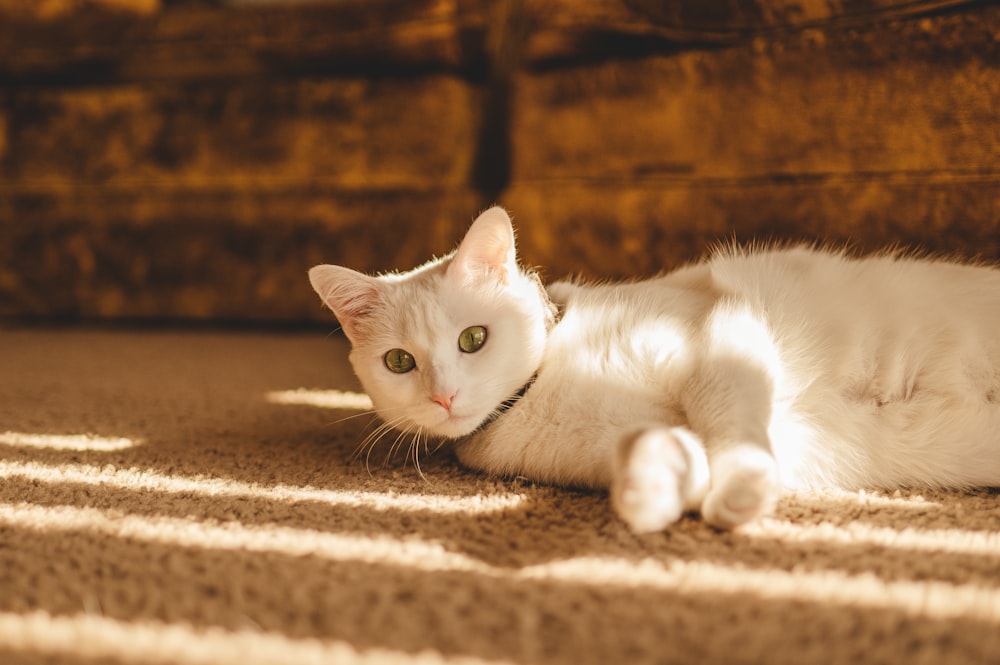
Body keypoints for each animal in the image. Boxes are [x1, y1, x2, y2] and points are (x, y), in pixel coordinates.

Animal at [306, 206, 1000, 528]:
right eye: (400, 362)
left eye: (473, 339)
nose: (445, 396)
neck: (543, 387)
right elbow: (668, 452)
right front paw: (646, 494)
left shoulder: (719, 335)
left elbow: (732, 425)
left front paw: (743, 491)